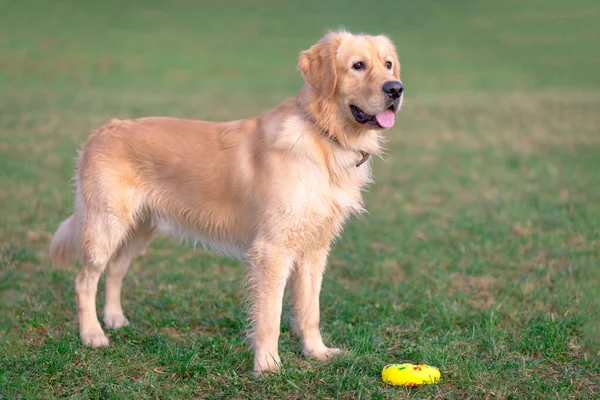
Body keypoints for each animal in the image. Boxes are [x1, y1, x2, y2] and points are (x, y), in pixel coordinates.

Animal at [50, 30, 404, 376]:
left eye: (388, 64)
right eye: (358, 65)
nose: (396, 89)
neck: (323, 136)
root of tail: (106, 128)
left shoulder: (314, 249)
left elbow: (309, 310)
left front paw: (316, 352)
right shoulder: (272, 250)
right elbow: (270, 316)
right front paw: (267, 366)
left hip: (137, 230)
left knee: (115, 271)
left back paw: (114, 319)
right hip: (105, 225)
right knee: (84, 280)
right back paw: (92, 334)